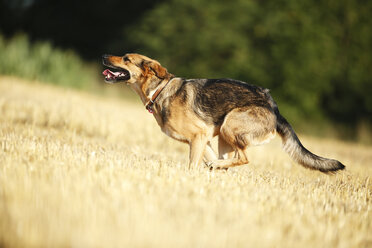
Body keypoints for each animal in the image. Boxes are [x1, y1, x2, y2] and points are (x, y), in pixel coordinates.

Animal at [101, 53, 346, 171]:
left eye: (126, 59)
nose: (103, 56)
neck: (159, 90)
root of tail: (273, 108)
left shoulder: (198, 137)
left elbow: (192, 165)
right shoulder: (203, 140)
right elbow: (202, 161)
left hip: (230, 125)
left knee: (244, 158)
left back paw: (219, 166)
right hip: (224, 138)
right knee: (232, 159)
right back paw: (219, 168)